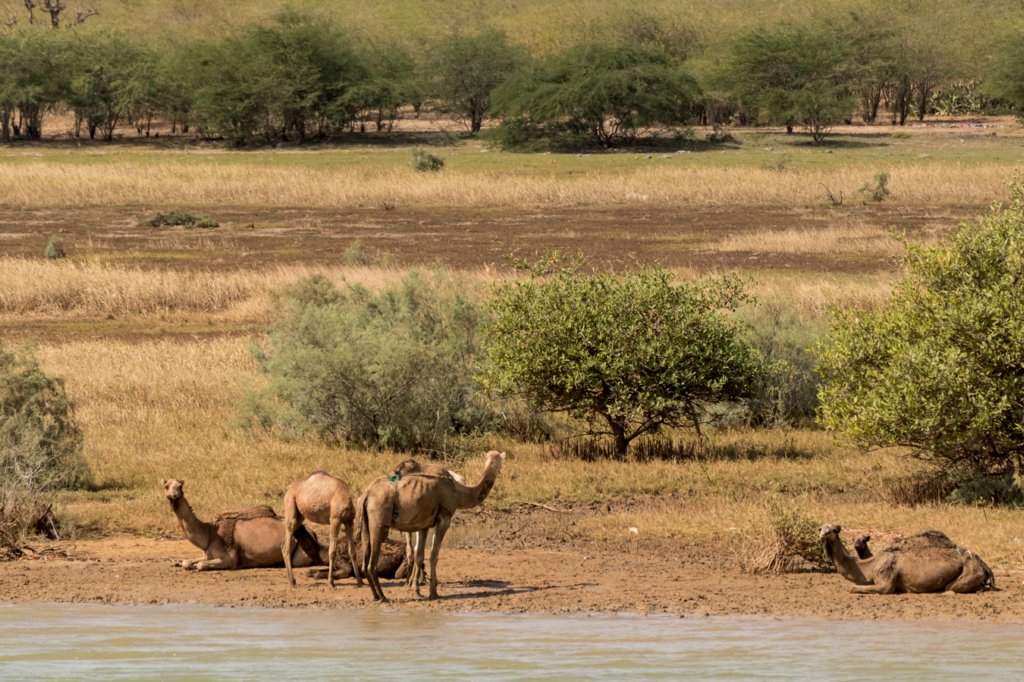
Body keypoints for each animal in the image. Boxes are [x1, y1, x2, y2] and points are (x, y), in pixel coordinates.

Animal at [161, 477, 319, 569]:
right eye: (166, 486)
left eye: (180, 486)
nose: (174, 495)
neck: (209, 533)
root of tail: (313, 532)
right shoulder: (208, 554)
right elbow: (187, 562)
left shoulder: (229, 558)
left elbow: (200, 565)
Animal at [358, 450, 505, 602]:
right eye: (497, 461)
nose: (496, 468)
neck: (457, 492)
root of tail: (367, 494)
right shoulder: (444, 519)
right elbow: (434, 555)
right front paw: (433, 592)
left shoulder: (424, 524)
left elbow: (420, 555)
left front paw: (416, 589)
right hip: (378, 523)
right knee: (371, 564)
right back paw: (382, 596)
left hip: (366, 525)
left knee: (365, 562)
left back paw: (376, 595)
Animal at [819, 522, 995, 593]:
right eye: (821, 528)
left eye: (832, 530)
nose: (822, 535)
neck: (870, 565)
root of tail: (985, 566)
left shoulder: (885, 580)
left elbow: (853, 587)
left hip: (969, 571)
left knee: (951, 588)